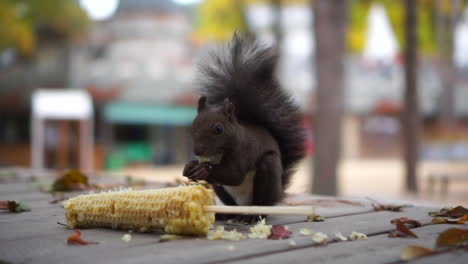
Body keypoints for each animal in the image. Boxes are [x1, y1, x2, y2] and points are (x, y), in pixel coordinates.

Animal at [181, 33, 306, 208]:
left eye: (219, 129)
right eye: (193, 126)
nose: (198, 151)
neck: (217, 153)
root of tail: (278, 193)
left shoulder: (243, 151)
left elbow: (234, 175)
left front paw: (204, 170)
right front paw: (189, 167)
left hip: (268, 170)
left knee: (262, 202)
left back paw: (256, 211)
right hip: (222, 191)